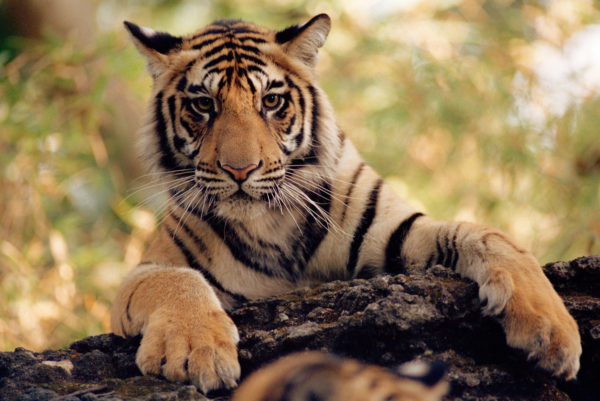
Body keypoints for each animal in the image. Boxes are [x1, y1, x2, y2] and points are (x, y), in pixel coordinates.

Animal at [111, 13, 580, 394]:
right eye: (203, 105)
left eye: (271, 101)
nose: (240, 170)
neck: (269, 221)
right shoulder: (144, 272)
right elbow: (176, 280)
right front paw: (195, 351)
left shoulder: (395, 231)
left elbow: (489, 235)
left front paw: (551, 330)